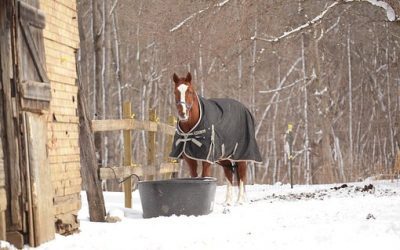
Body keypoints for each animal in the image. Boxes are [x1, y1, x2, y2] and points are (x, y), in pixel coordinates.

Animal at [169, 72, 262, 205]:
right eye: (175, 92)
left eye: (190, 91)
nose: (183, 114)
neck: (191, 129)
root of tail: (245, 109)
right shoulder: (190, 159)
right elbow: (194, 177)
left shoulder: (207, 160)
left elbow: (204, 177)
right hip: (224, 157)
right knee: (229, 174)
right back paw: (228, 201)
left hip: (241, 155)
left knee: (242, 175)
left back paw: (240, 200)